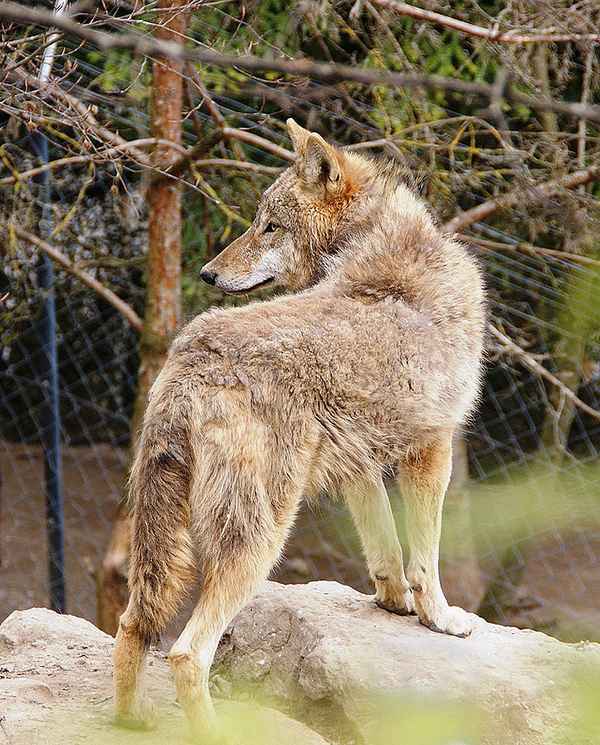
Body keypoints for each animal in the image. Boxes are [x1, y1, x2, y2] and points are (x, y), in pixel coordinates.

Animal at [113, 119, 486, 738]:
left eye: (269, 225)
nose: (207, 272)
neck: (379, 248)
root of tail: (192, 356)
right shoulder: (432, 449)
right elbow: (426, 558)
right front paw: (441, 618)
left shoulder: (363, 460)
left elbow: (386, 549)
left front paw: (395, 604)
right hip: (261, 537)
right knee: (188, 652)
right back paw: (214, 732)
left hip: (160, 539)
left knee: (132, 626)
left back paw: (127, 721)